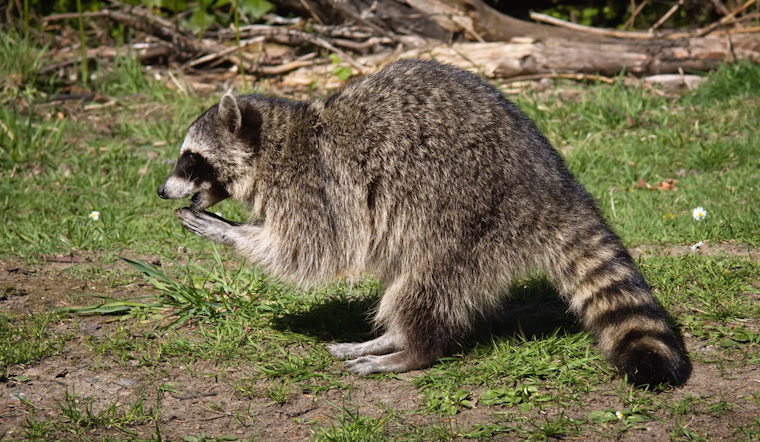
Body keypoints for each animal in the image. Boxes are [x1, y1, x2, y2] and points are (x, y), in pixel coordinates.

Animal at [158, 59, 689, 385]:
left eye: (190, 159)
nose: (162, 190)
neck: (275, 142)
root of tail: (556, 188)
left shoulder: (316, 185)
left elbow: (311, 250)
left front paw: (231, 232)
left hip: (469, 216)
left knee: (425, 284)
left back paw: (409, 350)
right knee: (403, 279)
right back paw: (388, 336)